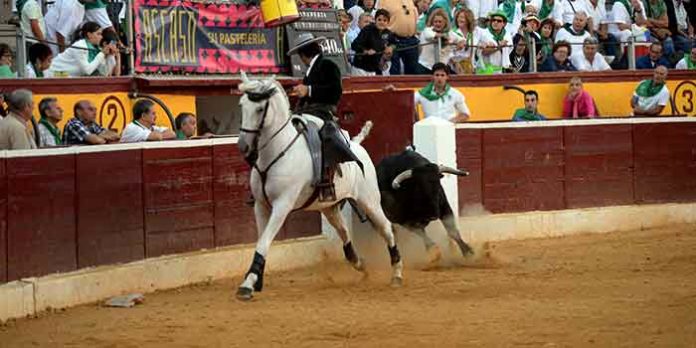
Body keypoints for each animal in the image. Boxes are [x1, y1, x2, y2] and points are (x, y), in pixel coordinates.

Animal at [235, 72, 402, 300]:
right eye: (242, 105)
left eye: (260, 109)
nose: (243, 145)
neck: (278, 151)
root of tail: (357, 146)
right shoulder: (261, 205)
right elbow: (261, 240)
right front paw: (254, 280)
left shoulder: (282, 206)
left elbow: (264, 241)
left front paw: (248, 283)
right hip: (329, 207)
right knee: (344, 233)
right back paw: (360, 264)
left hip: (369, 201)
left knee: (386, 228)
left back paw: (397, 273)